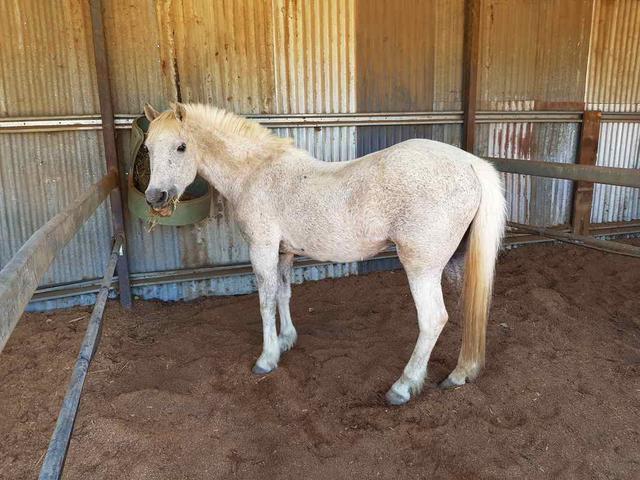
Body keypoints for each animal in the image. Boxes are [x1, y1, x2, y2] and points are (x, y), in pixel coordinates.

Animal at [142, 102, 506, 405]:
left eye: (181, 146)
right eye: (147, 147)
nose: (155, 197)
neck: (257, 174)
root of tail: (470, 163)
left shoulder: (262, 248)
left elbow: (265, 300)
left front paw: (267, 359)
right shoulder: (284, 253)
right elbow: (283, 294)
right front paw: (287, 340)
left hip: (421, 267)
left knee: (433, 320)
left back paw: (402, 387)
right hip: (456, 262)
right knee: (465, 309)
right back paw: (460, 373)